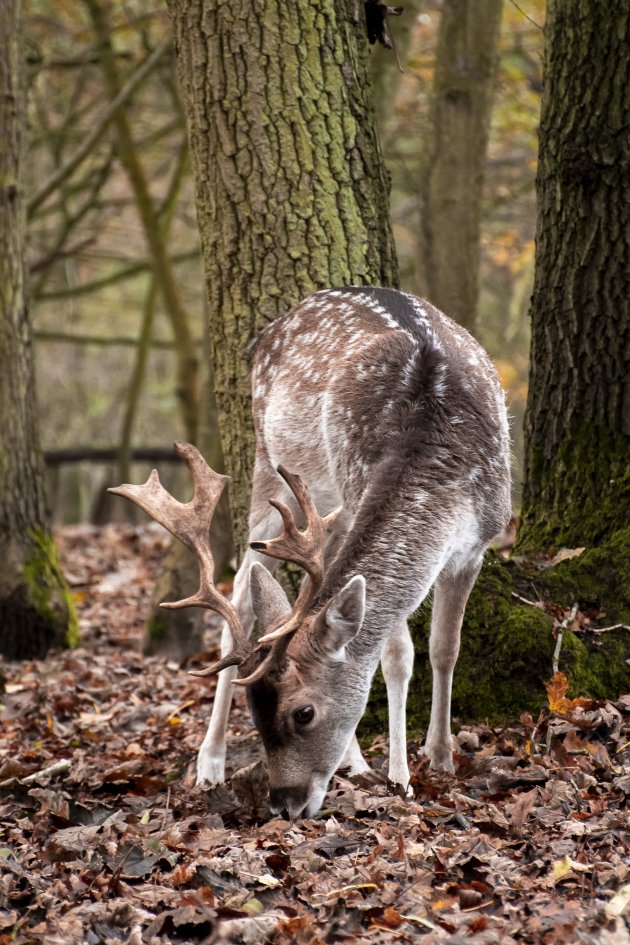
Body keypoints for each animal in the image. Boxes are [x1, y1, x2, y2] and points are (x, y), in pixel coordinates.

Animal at [111, 284, 512, 816]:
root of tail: (269, 330)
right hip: (270, 468)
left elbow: (445, 649)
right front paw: (400, 777)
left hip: (321, 509)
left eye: (303, 713)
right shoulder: (361, 492)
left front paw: (439, 756)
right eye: (255, 713)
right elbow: (396, 653)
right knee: (241, 597)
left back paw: (353, 763)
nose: (284, 804)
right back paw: (212, 762)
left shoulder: (479, 542)